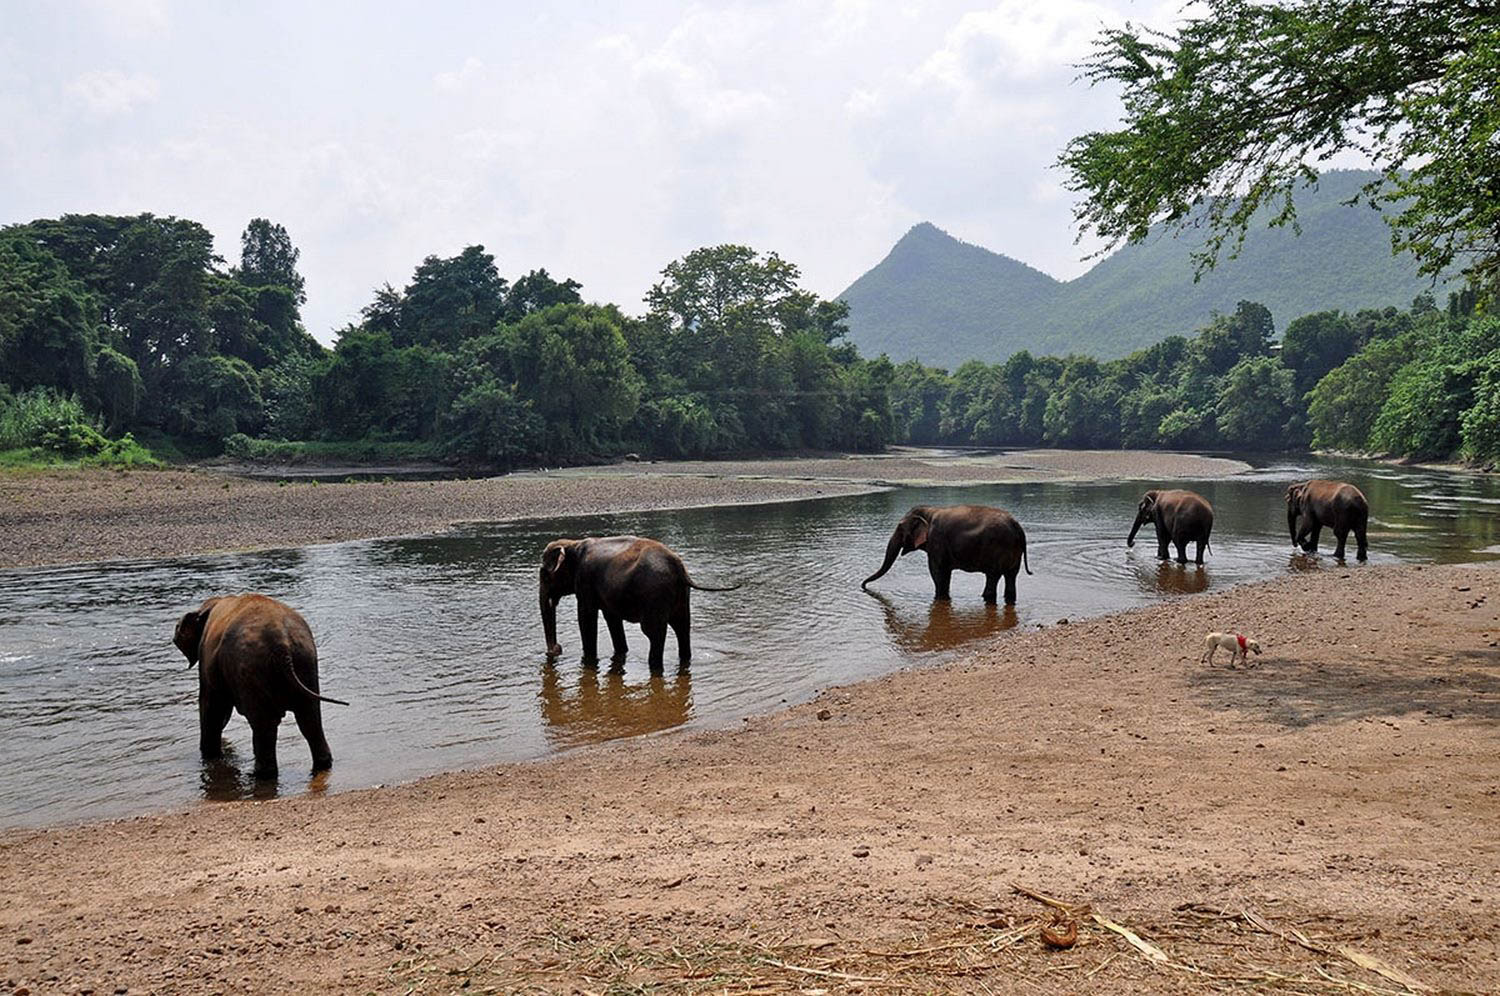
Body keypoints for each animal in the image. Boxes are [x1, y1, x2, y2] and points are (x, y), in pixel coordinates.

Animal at [171, 594, 346, 780]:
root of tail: (282, 644)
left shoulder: (207, 658)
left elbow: (211, 705)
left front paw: (209, 757)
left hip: (251, 667)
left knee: (264, 724)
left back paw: (259, 775)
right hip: (305, 661)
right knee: (309, 719)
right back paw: (322, 764)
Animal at [540, 537, 738, 669]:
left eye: (545, 574)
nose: (556, 649)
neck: (574, 544)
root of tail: (680, 569)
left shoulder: (585, 580)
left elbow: (586, 616)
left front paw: (589, 663)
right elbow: (611, 618)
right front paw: (620, 653)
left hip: (655, 595)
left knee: (654, 633)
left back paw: (655, 668)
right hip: (680, 596)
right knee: (682, 627)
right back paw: (684, 661)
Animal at [864, 501, 1026, 603]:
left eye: (899, 527)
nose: (863, 586)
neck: (929, 511)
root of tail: (1016, 525)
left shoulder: (936, 541)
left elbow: (937, 572)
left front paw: (940, 599)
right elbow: (945, 573)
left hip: (997, 549)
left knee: (993, 576)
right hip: (1014, 552)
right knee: (1011, 576)